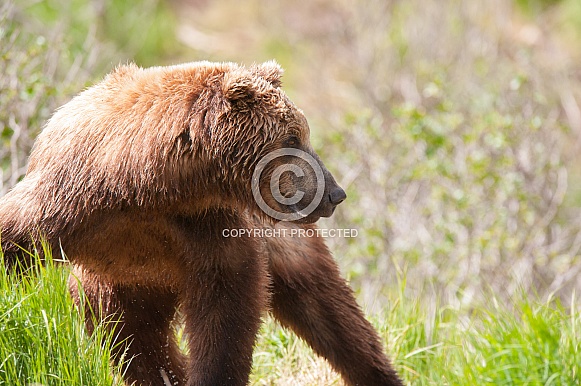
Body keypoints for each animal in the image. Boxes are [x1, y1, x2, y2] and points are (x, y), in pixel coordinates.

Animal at [0, 61, 404, 384]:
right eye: (293, 136)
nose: (335, 192)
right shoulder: (65, 201)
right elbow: (13, 240)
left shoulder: (207, 228)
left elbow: (226, 311)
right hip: (115, 286)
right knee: (133, 342)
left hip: (286, 245)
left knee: (333, 317)